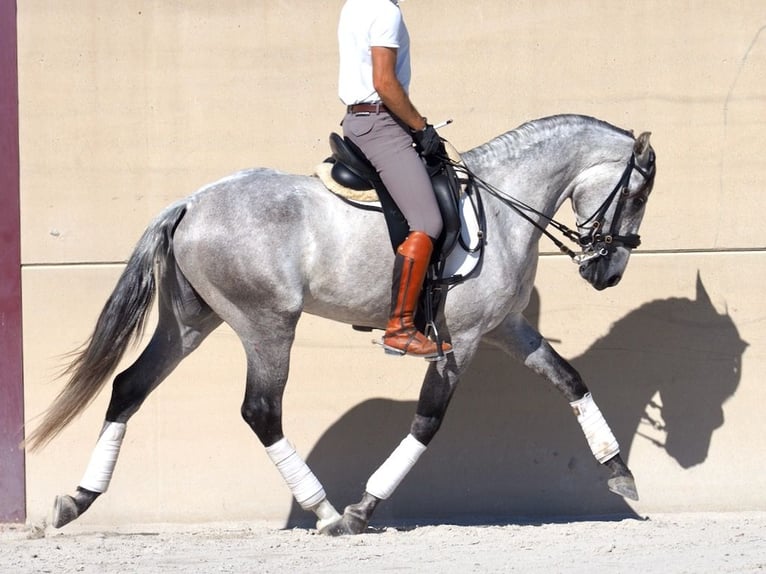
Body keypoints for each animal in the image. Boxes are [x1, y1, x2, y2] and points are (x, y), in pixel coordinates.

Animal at [27, 115, 656, 536]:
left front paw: (620, 474)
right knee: (261, 411)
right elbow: (428, 420)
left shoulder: (504, 326)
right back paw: (325, 511)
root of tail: (190, 202)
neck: (504, 209)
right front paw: (363, 508)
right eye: (639, 191)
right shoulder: (462, 340)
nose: (608, 273)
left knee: (129, 386)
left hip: (189, 322)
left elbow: (570, 379)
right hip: (267, 325)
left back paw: (77, 501)